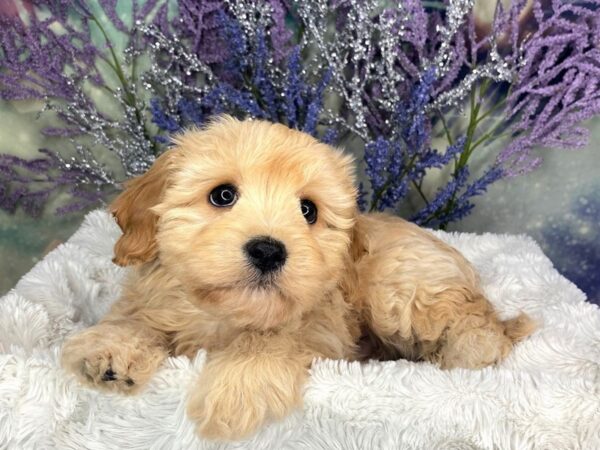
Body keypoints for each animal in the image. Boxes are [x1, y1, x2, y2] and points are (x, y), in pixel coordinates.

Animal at [62, 115, 536, 440]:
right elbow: (135, 318)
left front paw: (238, 388)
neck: (225, 315)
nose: (269, 250)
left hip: (401, 290)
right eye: (222, 195)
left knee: (476, 322)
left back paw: (464, 350)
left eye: (308, 210)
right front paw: (111, 348)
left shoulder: (323, 329)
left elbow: (274, 338)